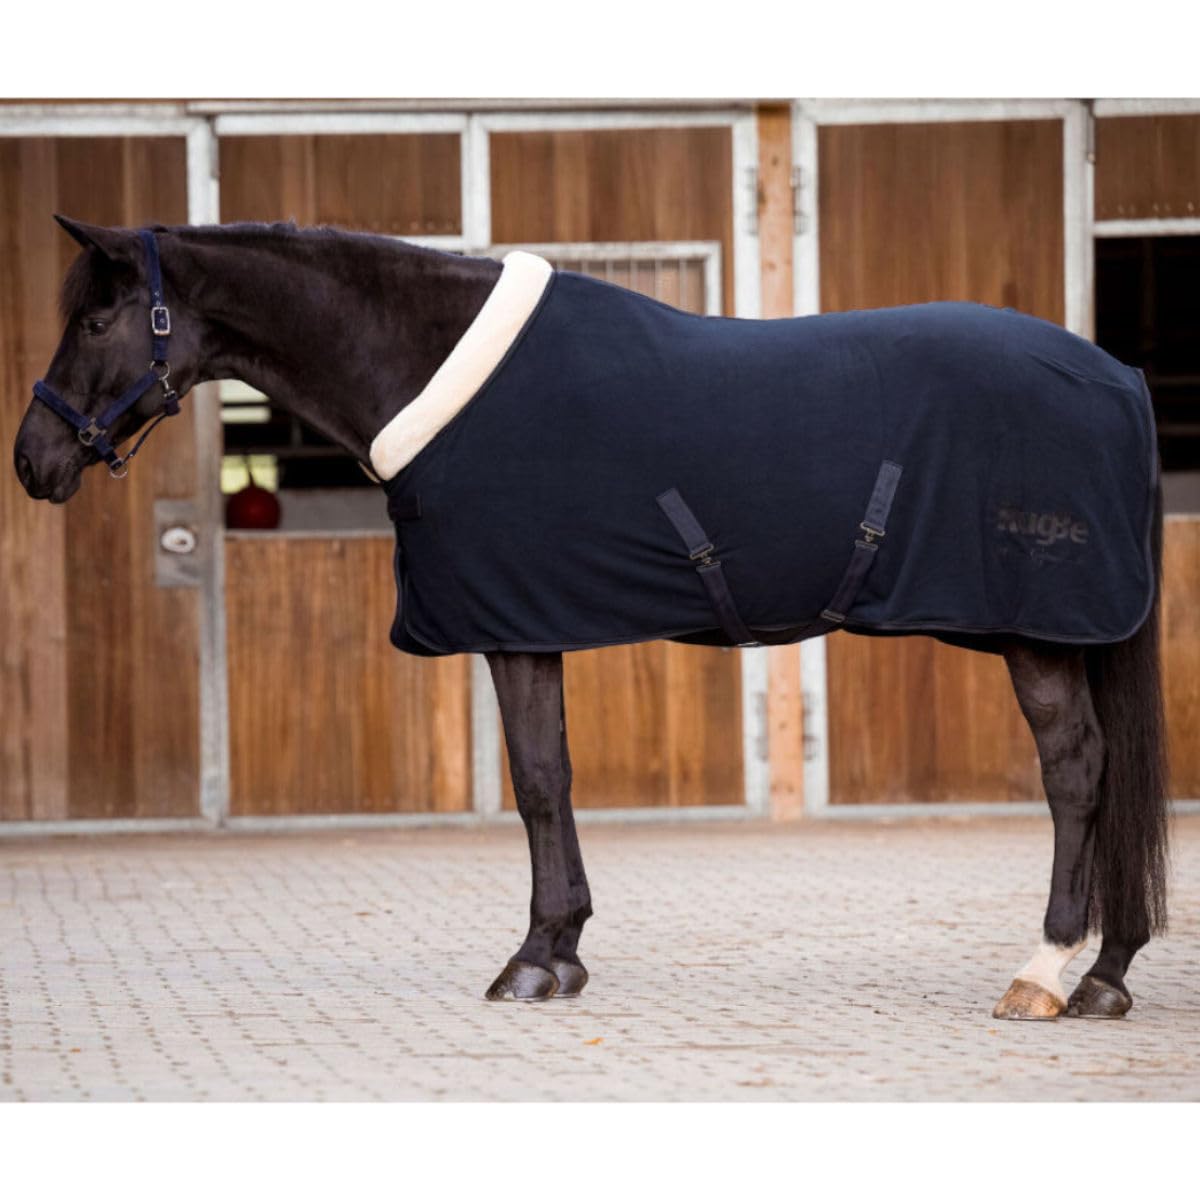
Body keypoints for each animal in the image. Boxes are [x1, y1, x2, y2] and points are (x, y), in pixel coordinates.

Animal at [12, 216, 1169, 1020]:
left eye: (98, 320)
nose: (35, 459)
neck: (438, 370)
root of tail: (1120, 376)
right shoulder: (534, 623)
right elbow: (554, 779)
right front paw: (562, 952)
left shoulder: (513, 625)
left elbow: (534, 784)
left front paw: (532, 962)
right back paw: (1105, 975)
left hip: (1038, 634)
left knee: (1077, 771)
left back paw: (1046, 971)